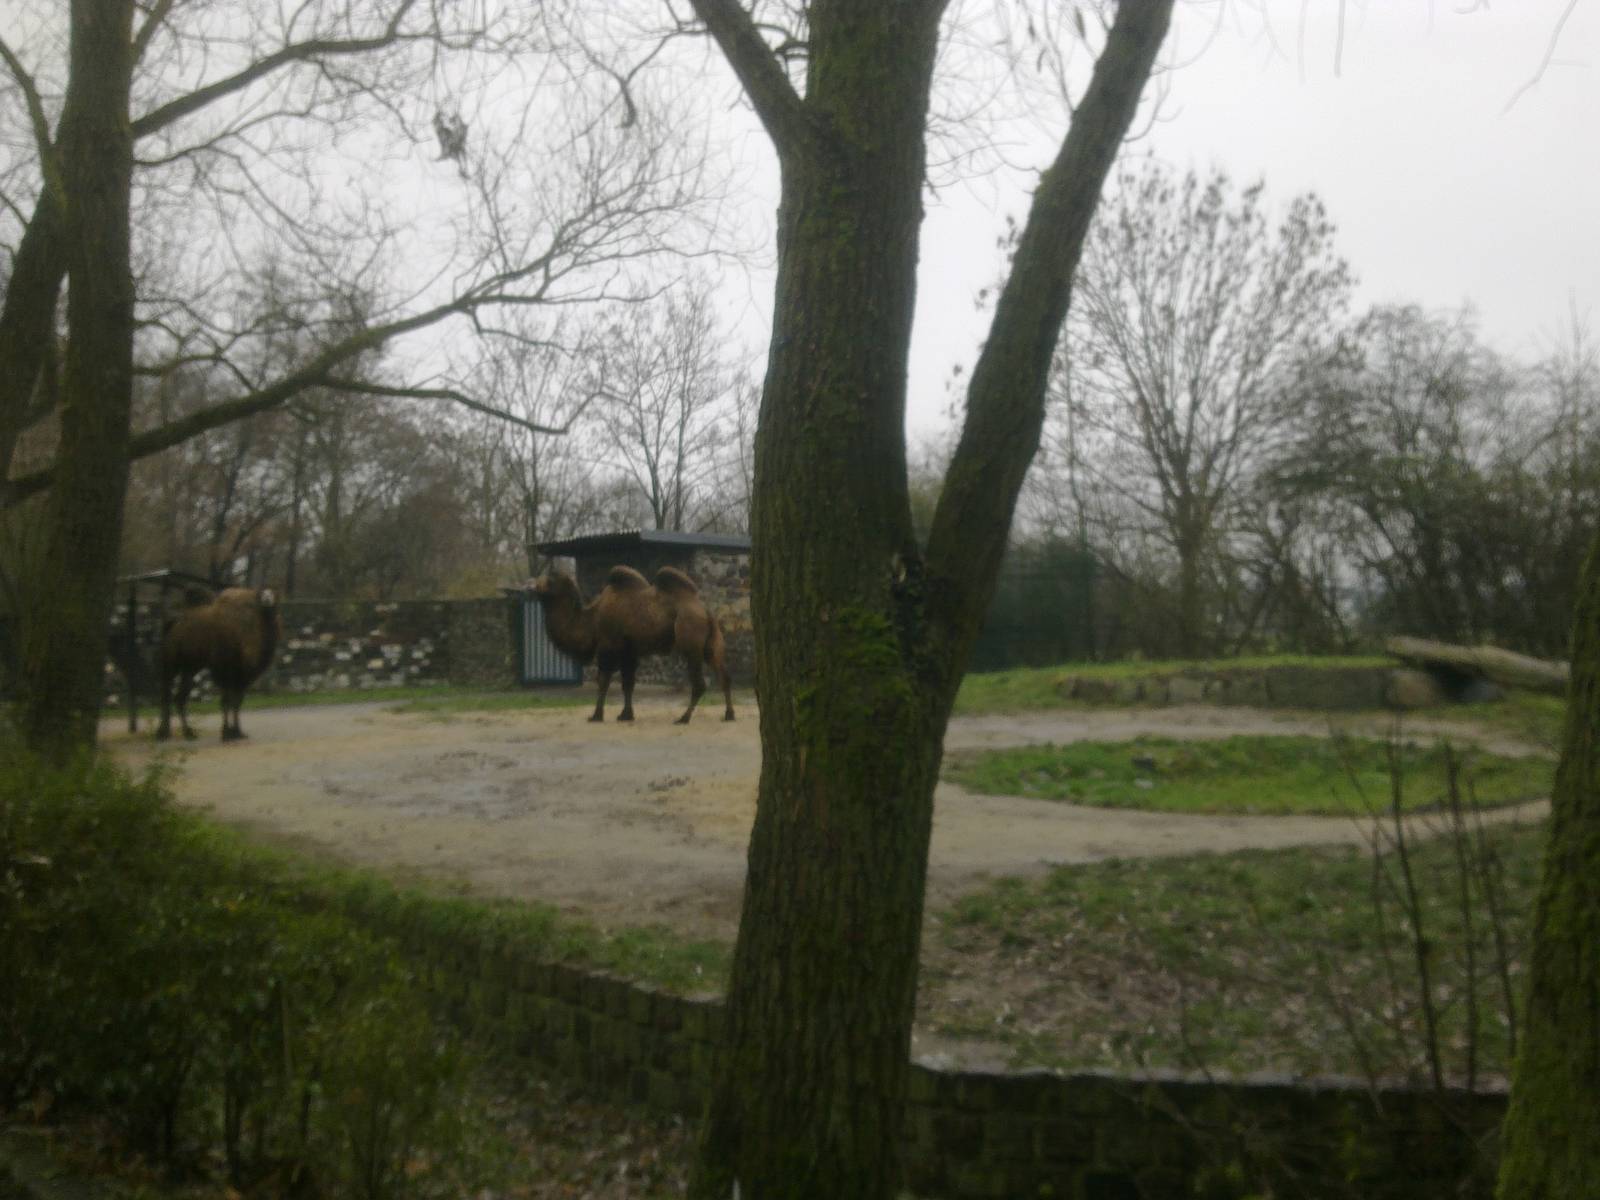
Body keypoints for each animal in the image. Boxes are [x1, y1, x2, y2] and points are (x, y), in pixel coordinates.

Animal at [157, 587, 282, 741]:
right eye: (261, 593)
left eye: (274, 592)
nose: (267, 599)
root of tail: (171, 626)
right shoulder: (223, 670)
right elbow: (226, 701)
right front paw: (226, 733)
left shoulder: (242, 676)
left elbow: (237, 702)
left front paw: (238, 732)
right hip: (171, 663)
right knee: (166, 692)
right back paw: (162, 733)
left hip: (190, 668)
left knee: (180, 697)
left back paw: (188, 733)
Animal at [527, 565, 734, 724]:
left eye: (550, 579)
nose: (530, 585)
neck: (592, 619)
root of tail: (706, 612)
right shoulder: (629, 652)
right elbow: (628, 683)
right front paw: (625, 715)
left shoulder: (608, 647)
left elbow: (603, 681)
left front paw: (596, 715)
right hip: (710, 645)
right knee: (724, 676)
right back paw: (729, 714)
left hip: (690, 642)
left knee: (699, 683)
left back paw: (683, 718)